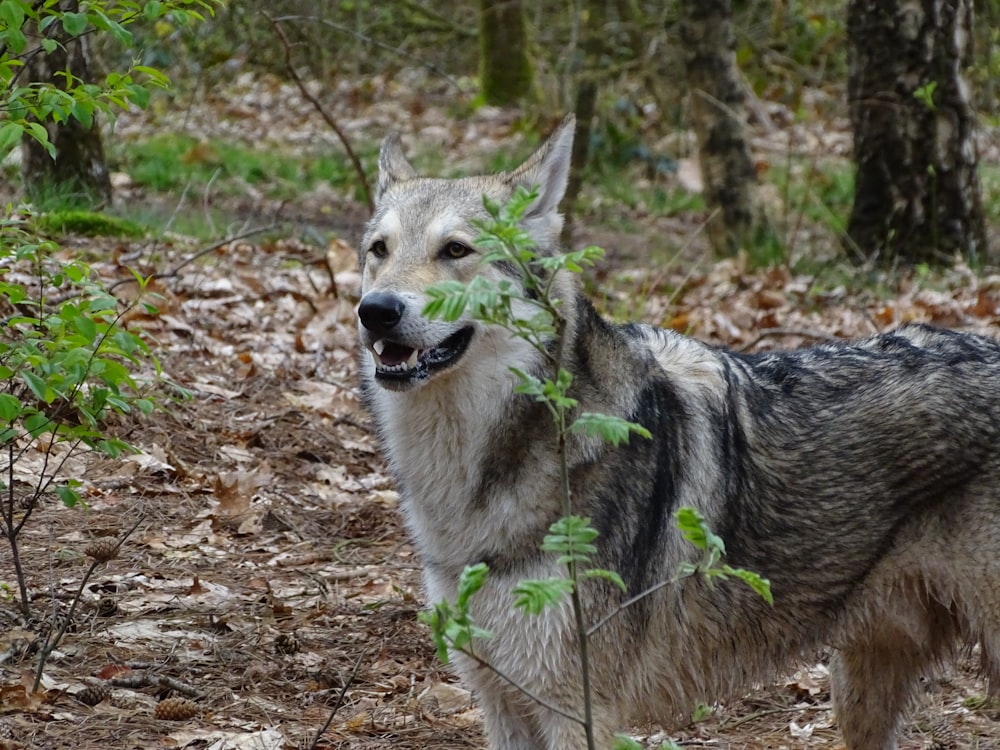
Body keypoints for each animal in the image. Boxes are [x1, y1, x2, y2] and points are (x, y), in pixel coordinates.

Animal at [354, 113, 1000, 750]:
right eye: (378, 250)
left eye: (455, 249)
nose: (375, 310)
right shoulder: (503, 703)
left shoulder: (578, 713)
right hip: (860, 694)